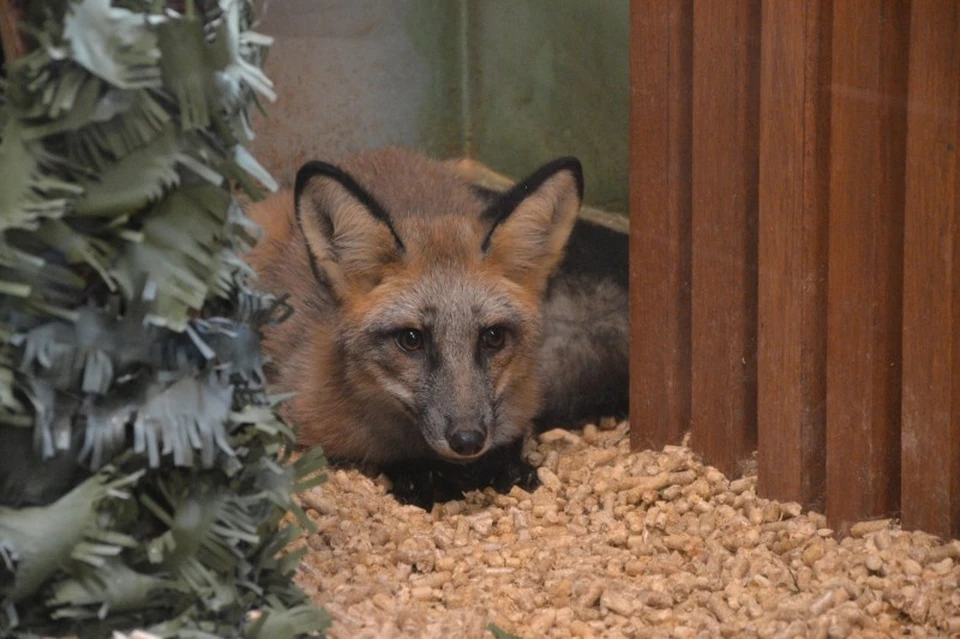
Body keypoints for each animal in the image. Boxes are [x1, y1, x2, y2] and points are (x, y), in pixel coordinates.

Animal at [246, 146, 632, 510]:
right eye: (411, 339)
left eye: (493, 337)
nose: (467, 441)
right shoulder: (306, 420)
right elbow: (386, 460)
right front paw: (426, 481)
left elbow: (512, 454)